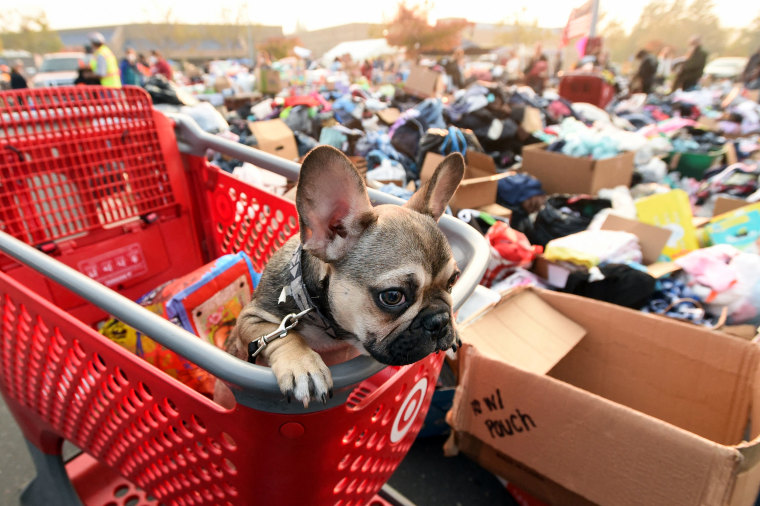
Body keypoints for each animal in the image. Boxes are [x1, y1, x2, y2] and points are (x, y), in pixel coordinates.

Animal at [221, 145, 464, 408]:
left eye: (453, 280)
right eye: (392, 296)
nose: (440, 320)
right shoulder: (251, 318)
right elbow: (282, 335)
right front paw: (303, 365)